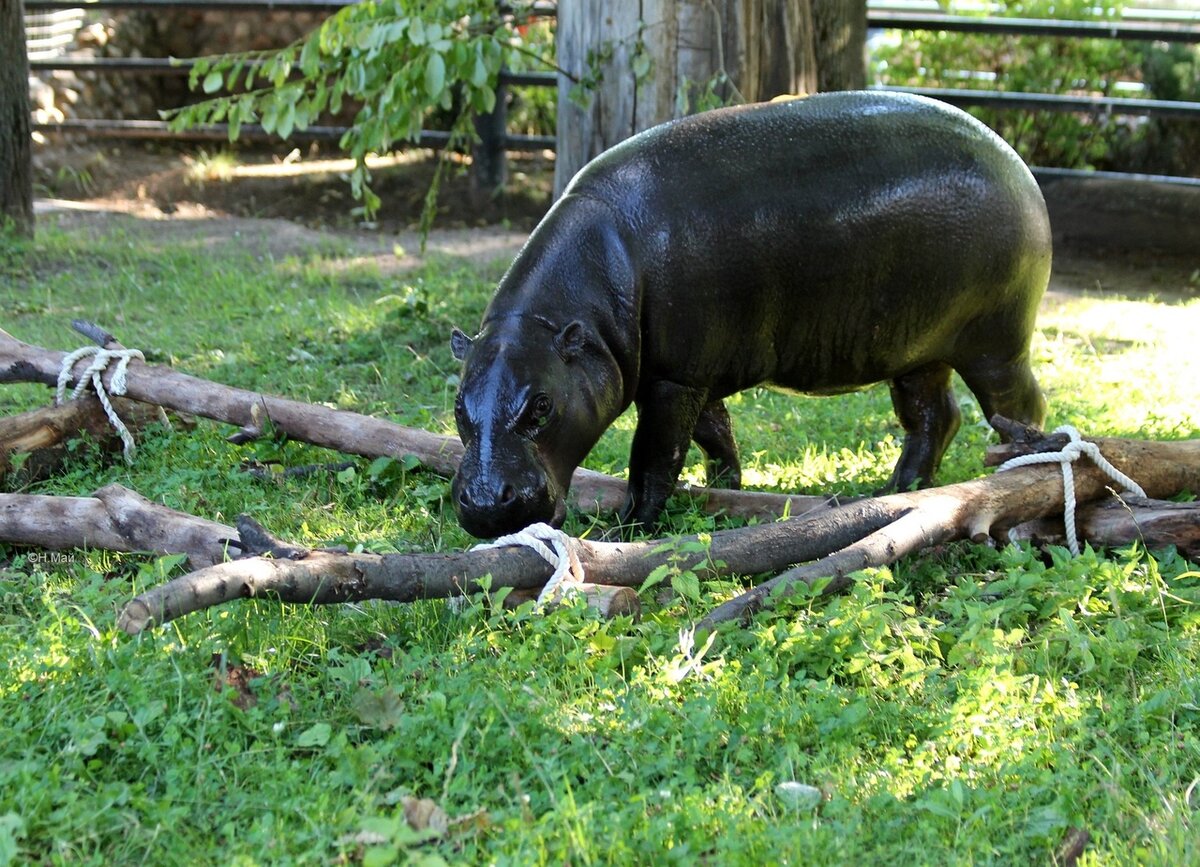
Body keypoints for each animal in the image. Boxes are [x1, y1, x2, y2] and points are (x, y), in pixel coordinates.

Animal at [451, 87, 1051, 533]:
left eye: (543, 406)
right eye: (457, 406)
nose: (483, 503)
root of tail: (1017, 164)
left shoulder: (673, 380)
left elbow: (655, 456)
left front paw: (630, 525)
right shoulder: (693, 373)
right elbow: (715, 433)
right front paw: (725, 487)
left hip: (996, 342)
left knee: (1018, 406)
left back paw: (1020, 468)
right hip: (918, 350)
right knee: (934, 417)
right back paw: (897, 488)